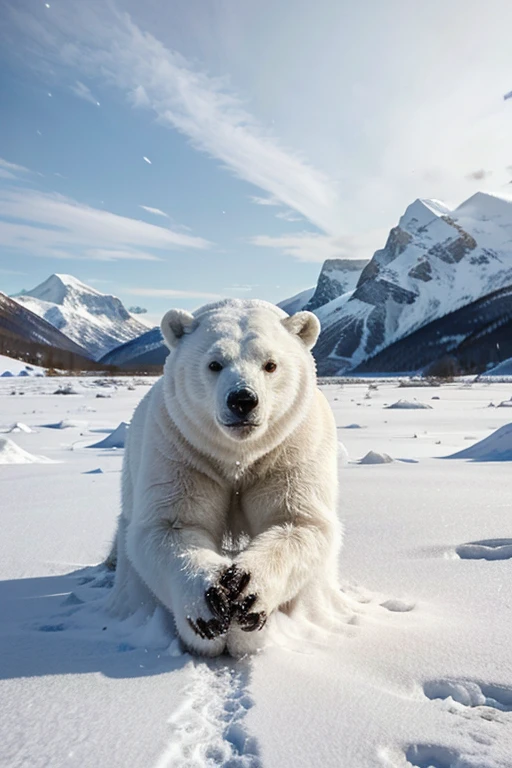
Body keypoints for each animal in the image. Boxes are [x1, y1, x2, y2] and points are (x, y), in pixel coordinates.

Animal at [106, 296, 342, 656]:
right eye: (214, 363)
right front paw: (209, 607)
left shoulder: (291, 446)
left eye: (270, 365)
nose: (243, 400)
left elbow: (295, 520)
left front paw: (247, 598)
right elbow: (173, 523)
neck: (237, 456)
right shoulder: (182, 447)